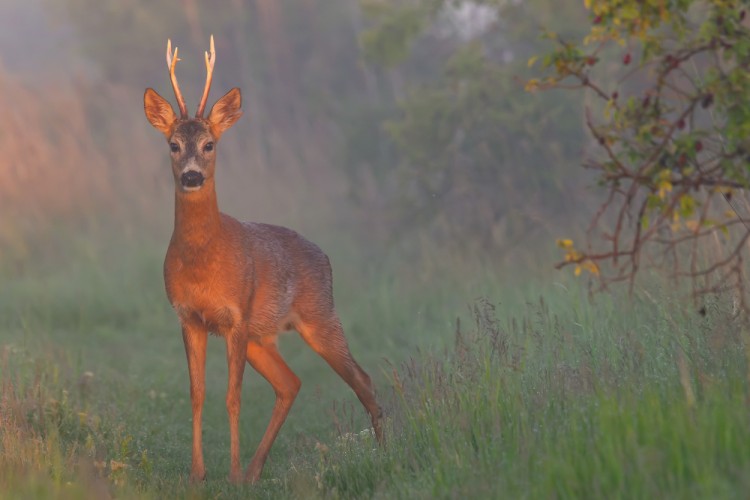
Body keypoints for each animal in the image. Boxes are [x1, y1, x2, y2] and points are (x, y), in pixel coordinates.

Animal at [145, 36, 384, 484]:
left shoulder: (237, 314)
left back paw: (383, 451)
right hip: (263, 337)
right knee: (290, 383)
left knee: (362, 378)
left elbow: (233, 396)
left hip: (320, 314)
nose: (191, 176)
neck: (204, 261)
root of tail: (325, 256)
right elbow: (197, 394)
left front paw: (231, 473)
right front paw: (198, 474)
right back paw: (257, 470)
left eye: (210, 144)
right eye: (173, 144)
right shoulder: (188, 317)